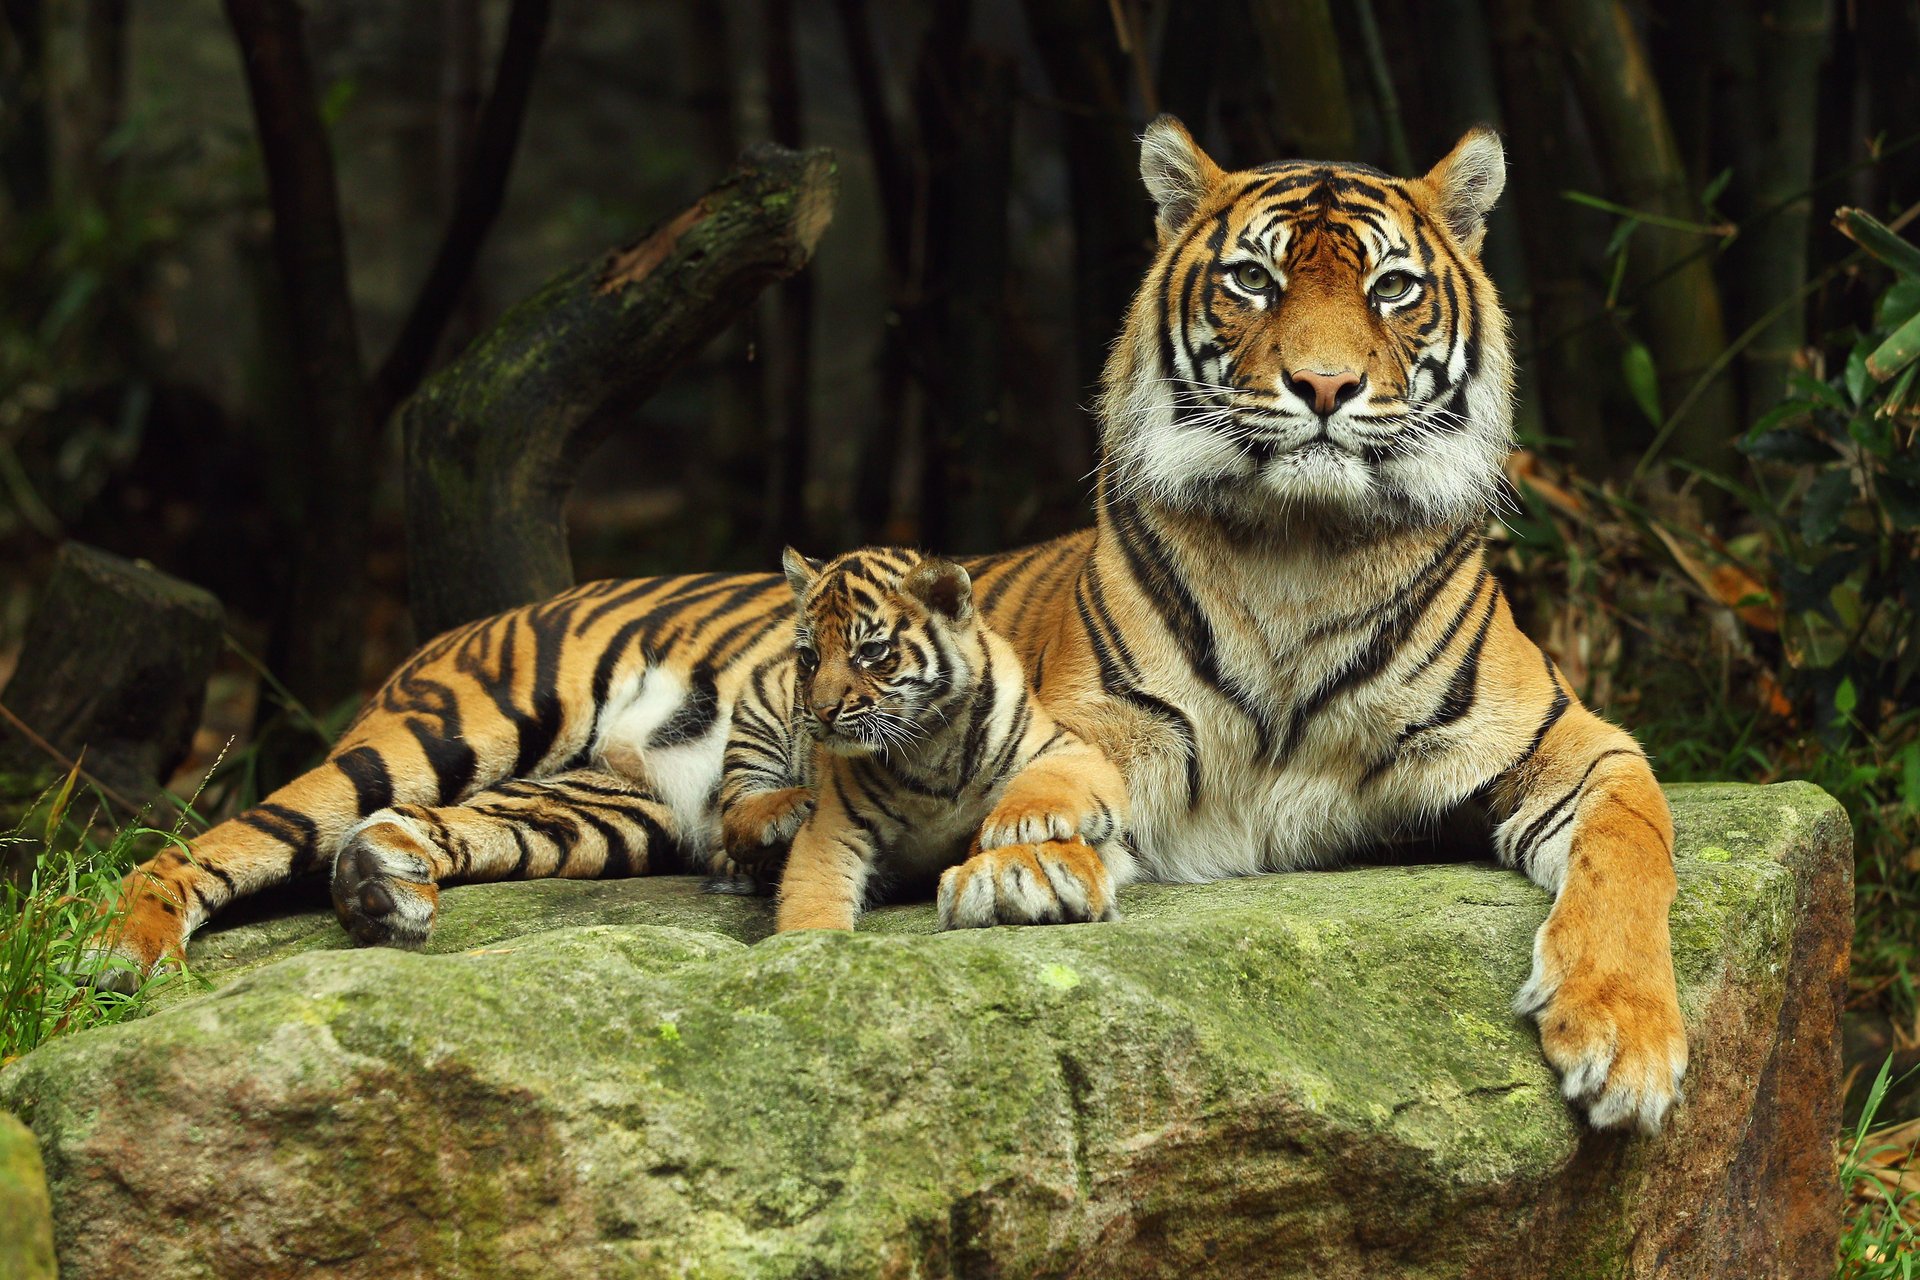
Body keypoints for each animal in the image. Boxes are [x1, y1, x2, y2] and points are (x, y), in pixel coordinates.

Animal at [726, 546, 1127, 932]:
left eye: (871, 651)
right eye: (810, 656)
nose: (823, 710)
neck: (931, 742)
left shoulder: (1070, 749)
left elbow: (1051, 778)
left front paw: (1018, 822)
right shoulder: (835, 826)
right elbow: (813, 898)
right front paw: (813, 941)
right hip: (760, 710)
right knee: (732, 815)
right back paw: (790, 807)